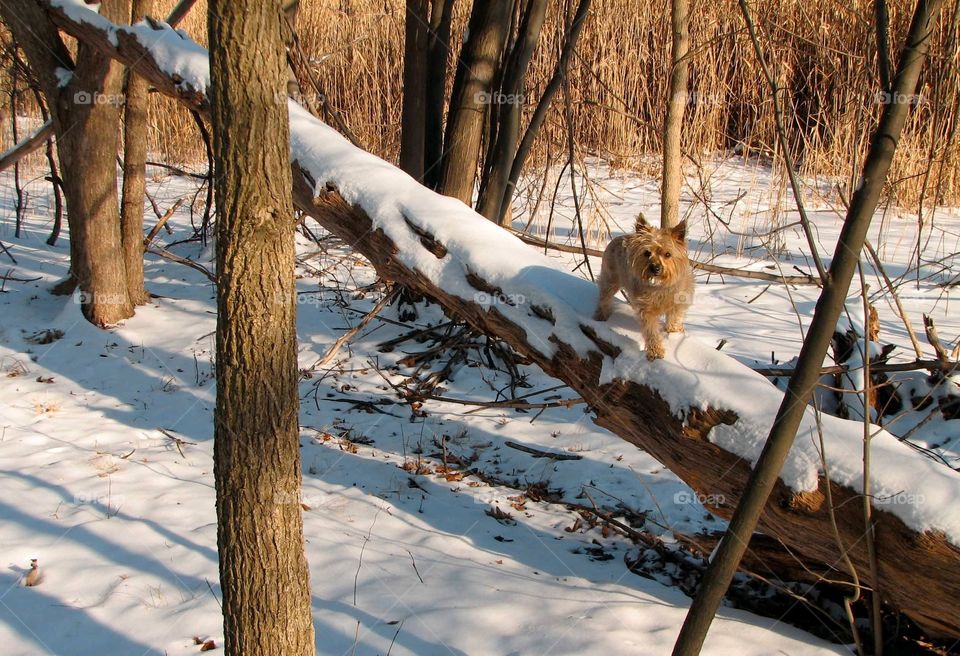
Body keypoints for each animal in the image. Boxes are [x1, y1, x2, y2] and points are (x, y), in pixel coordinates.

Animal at [592, 214, 688, 358]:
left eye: (668, 254)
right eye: (647, 253)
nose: (655, 268)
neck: (659, 285)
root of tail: (618, 238)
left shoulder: (677, 302)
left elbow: (674, 317)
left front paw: (673, 332)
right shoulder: (646, 310)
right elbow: (651, 330)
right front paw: (655, 351)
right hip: (610, 279)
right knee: (604, 298)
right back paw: (601, 316)